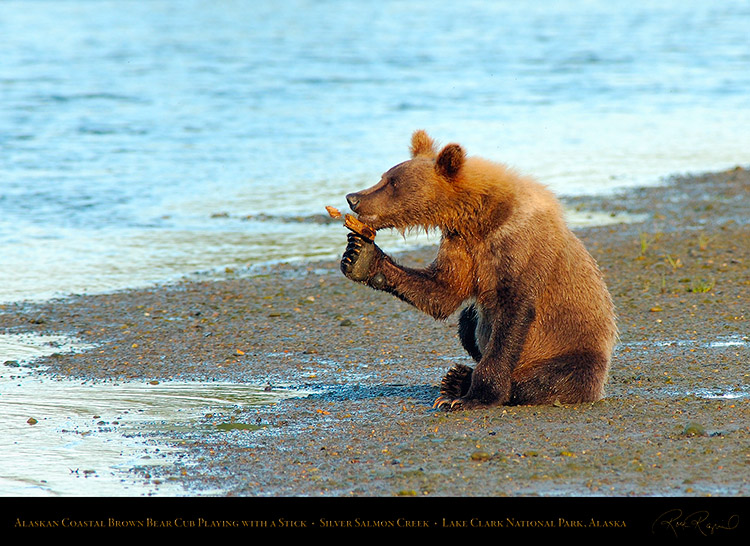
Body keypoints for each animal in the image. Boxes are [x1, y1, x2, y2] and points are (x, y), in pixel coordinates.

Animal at [344, 129, 620, 408]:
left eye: (392, 183)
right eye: (384, 177)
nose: (353, 197)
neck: (481, 217)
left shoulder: (519, 245)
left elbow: (512, 315)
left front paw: (473, 397)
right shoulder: (461, 243)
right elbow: (443, 291)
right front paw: (361, 257)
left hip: (573, 350)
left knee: (550, 379)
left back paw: (463, 381)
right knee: (467, 321)